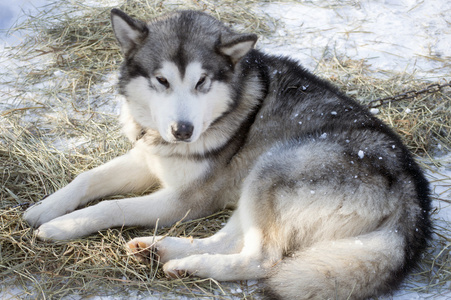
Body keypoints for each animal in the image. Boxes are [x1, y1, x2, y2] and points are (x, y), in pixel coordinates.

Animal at [23, 8, 430, 298]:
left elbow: (112, 206)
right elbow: (87, 177)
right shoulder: (149, 159)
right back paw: (163, 253)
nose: (183, 131)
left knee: (261, 260)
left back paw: (188, 264)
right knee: (228, 240)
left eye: (202, 82)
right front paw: (44, 209)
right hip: (259, 186)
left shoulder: (186, 199)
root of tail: (413, 193)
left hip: (275, 167)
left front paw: (60, 227)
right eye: (162, 80)